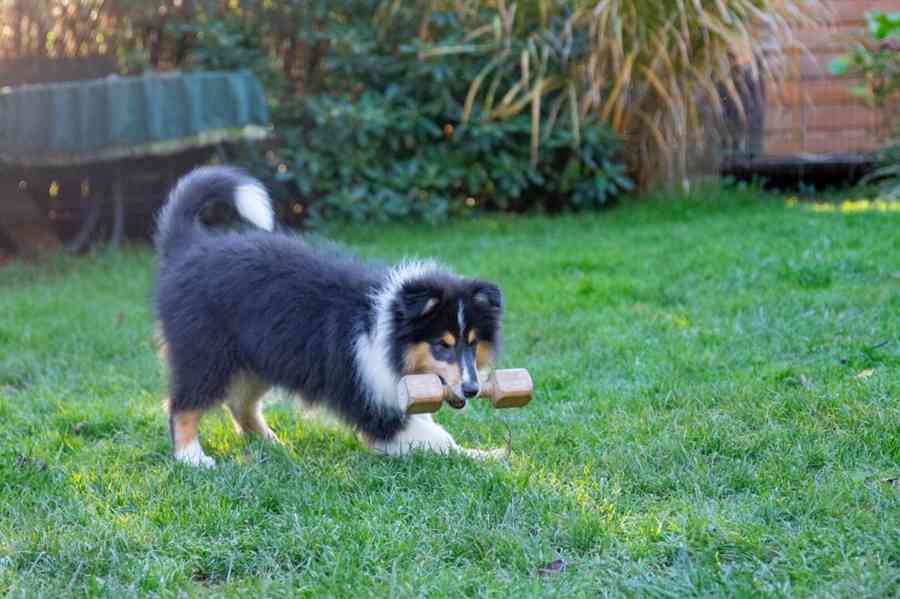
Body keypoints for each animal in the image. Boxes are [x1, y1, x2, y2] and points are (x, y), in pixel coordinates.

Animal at [156, 166, 506, 466]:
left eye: (472, 344)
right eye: (441, 345)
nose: (472, 389)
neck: (387, 327)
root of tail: (188, 247)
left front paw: (488, 453)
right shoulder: (374, 401)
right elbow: (439, 440)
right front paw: (491, 456)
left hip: (259, 358)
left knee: (241, 403)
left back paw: (273, 444)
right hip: (205, 352)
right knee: (183, 404)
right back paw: (192, 456)